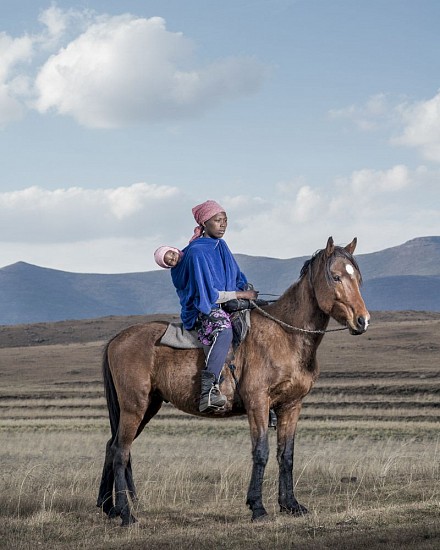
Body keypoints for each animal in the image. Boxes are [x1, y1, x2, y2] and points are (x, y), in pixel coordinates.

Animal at [97, 236, 372, 528]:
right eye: (336, 277)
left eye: (358, 278)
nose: (363, 320)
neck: (286, 335)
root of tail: (117, 339)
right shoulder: (258, 403)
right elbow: (261, 452)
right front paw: (258, 507)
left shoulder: (291, 405)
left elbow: (286, 455)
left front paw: (291, 505)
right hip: (134, 406)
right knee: (121, 451)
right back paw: (126, 514)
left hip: (149, 405)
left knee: (113, 446)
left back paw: (108, 507)